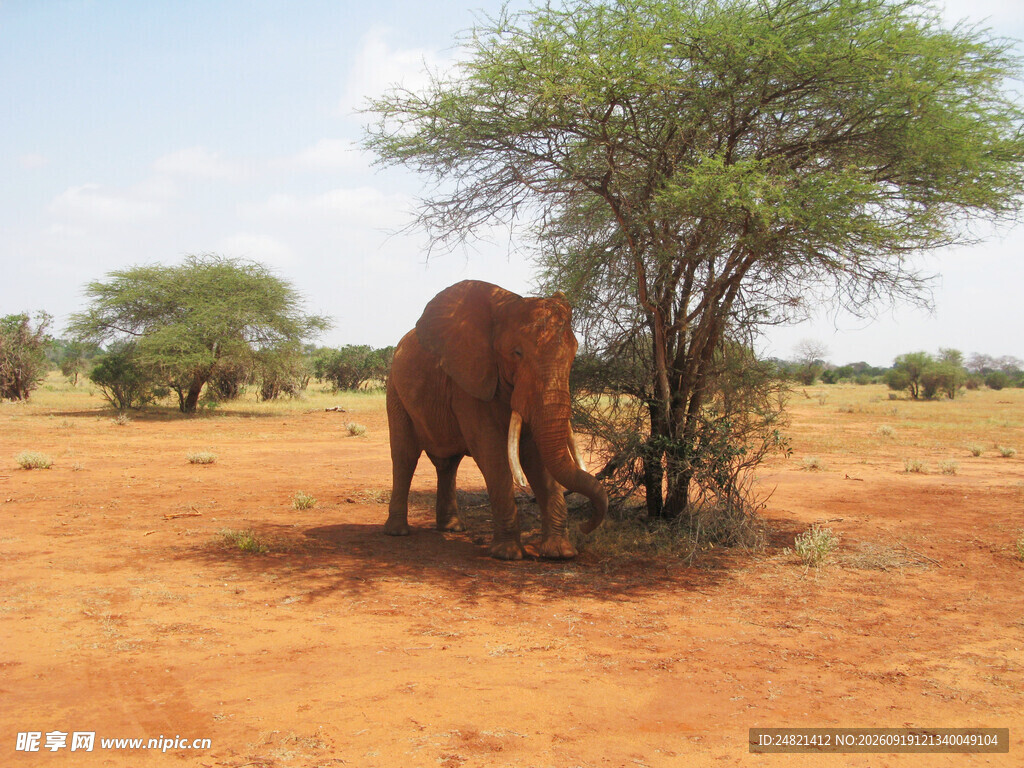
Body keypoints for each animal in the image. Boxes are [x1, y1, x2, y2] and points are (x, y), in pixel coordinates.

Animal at [384, 279, 608, 560]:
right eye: (517, 353)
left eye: (574, 354)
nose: (585, 526)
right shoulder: (469, 382)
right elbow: (491, 451)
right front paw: (507, 554)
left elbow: (537, 455)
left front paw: (560, 552)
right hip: (395, 390)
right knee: (405, 456)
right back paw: (397, 531)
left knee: (448, 464)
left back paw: (452, 528)